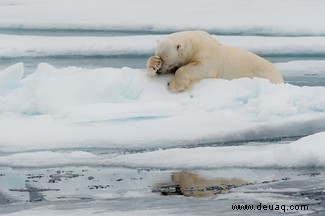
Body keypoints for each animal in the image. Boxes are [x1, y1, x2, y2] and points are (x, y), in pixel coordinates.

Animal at [146, 30, 282, 91]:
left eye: (166, 59)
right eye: (159, 56)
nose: (159, 72)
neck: (194, 44)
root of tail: (280, 77)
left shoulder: (207, 53)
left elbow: (201, 67)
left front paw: (173, 84)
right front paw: (154, 64)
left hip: (263, 73)